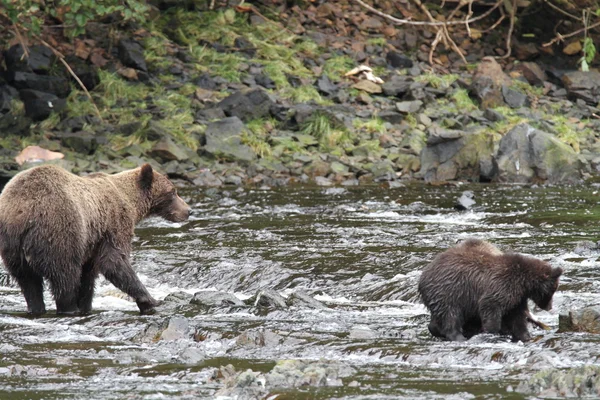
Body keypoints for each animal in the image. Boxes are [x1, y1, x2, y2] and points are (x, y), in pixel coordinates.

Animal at [0, 162, 190, 316]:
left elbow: (88, 276)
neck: (132, 202)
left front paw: (86, 304)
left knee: (28, 283)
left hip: (13, 247)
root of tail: (22, 211)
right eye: (173, 192)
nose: (188, 210)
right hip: (58, 232)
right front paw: (149, 300)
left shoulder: (92, 241)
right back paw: (68, 308)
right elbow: (114, 261)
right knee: (65, 277)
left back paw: (37, 308)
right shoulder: (113, 224)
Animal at [418, 239, 564, 342]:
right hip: (449, 292)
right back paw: (459, 337)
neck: (523, 284)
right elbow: (490, 308)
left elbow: (517, 318)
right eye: (553, 289)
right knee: (451, 315)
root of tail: (423, 276)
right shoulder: (501, 287)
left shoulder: (517, 299)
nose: (550, 307)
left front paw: (525, 335)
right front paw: (492, 331)